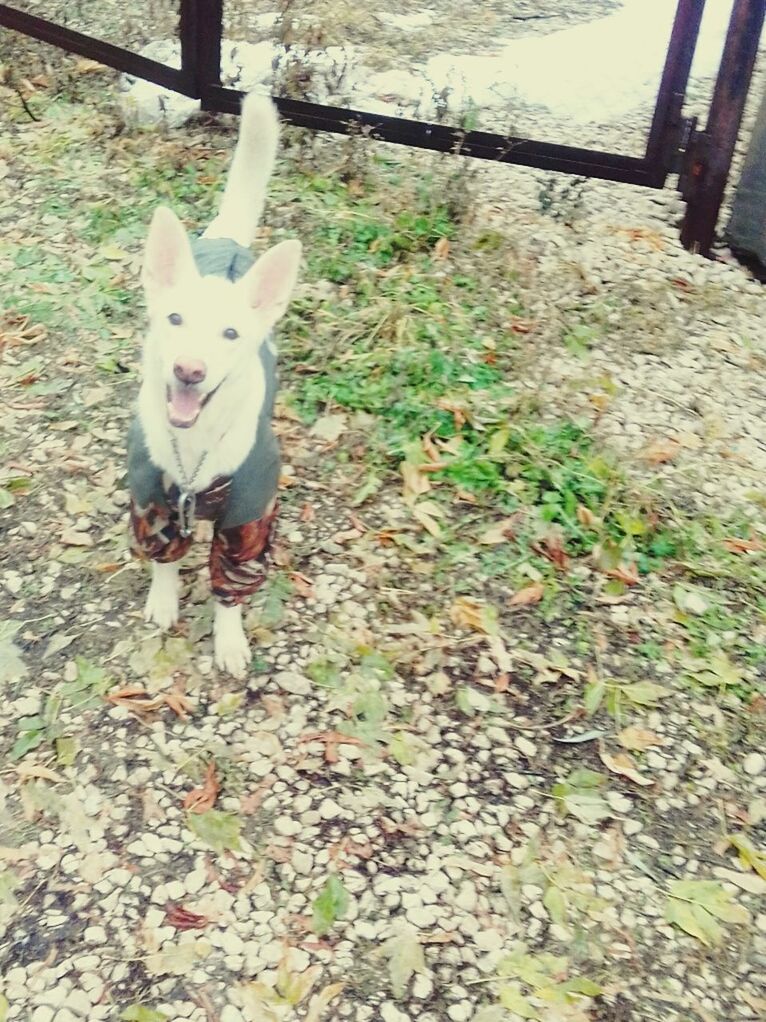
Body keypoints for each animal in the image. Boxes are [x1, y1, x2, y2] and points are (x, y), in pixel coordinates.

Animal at [126, 96, 300, 678]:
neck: (195, 449)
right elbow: (163, 559)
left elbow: (231, 584)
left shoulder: (249, 518)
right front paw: (163, 599)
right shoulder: (150, 503)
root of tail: (226, 243)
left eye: (230, 334)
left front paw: (228, 638)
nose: (189, 370)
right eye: (175, 318)